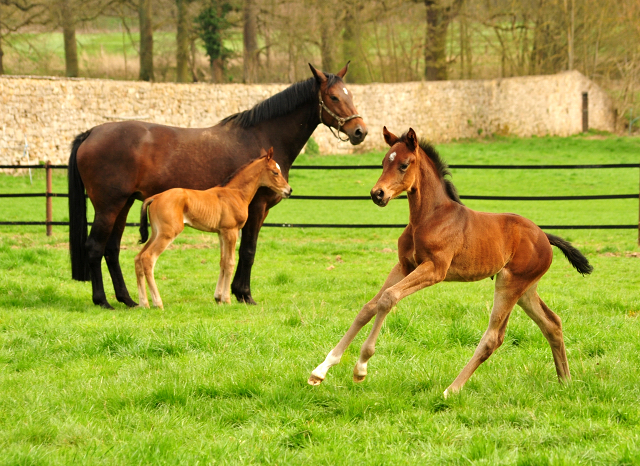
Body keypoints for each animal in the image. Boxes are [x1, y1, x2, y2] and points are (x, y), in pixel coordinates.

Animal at [139, 148, 294, 310]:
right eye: (275, 172)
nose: (289, 190)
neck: (235, 193)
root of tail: (155, 197)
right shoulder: (231, 231)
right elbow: (230, 262)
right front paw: (227, 299)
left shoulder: (221, 233)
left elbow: (223, 262)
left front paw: (218, 298)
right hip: (167, 233)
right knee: (148, 258)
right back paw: (157, 303)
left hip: (156, 233)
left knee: (138, 258)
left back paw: (143, 303)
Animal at [308, 127, 592, 396]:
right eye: (383, 162)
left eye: (404, 164)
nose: (377, 193)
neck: (428, 217)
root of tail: (544, 236)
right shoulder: (405, 265)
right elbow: (369, 307)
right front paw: (321, 370)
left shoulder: (435, 270)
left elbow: (388, 298)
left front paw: (361, 367)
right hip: (526, 290)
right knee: (552, 323)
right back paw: (565, 381)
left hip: (510, 285)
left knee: (494, 337)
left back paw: (451, 389)